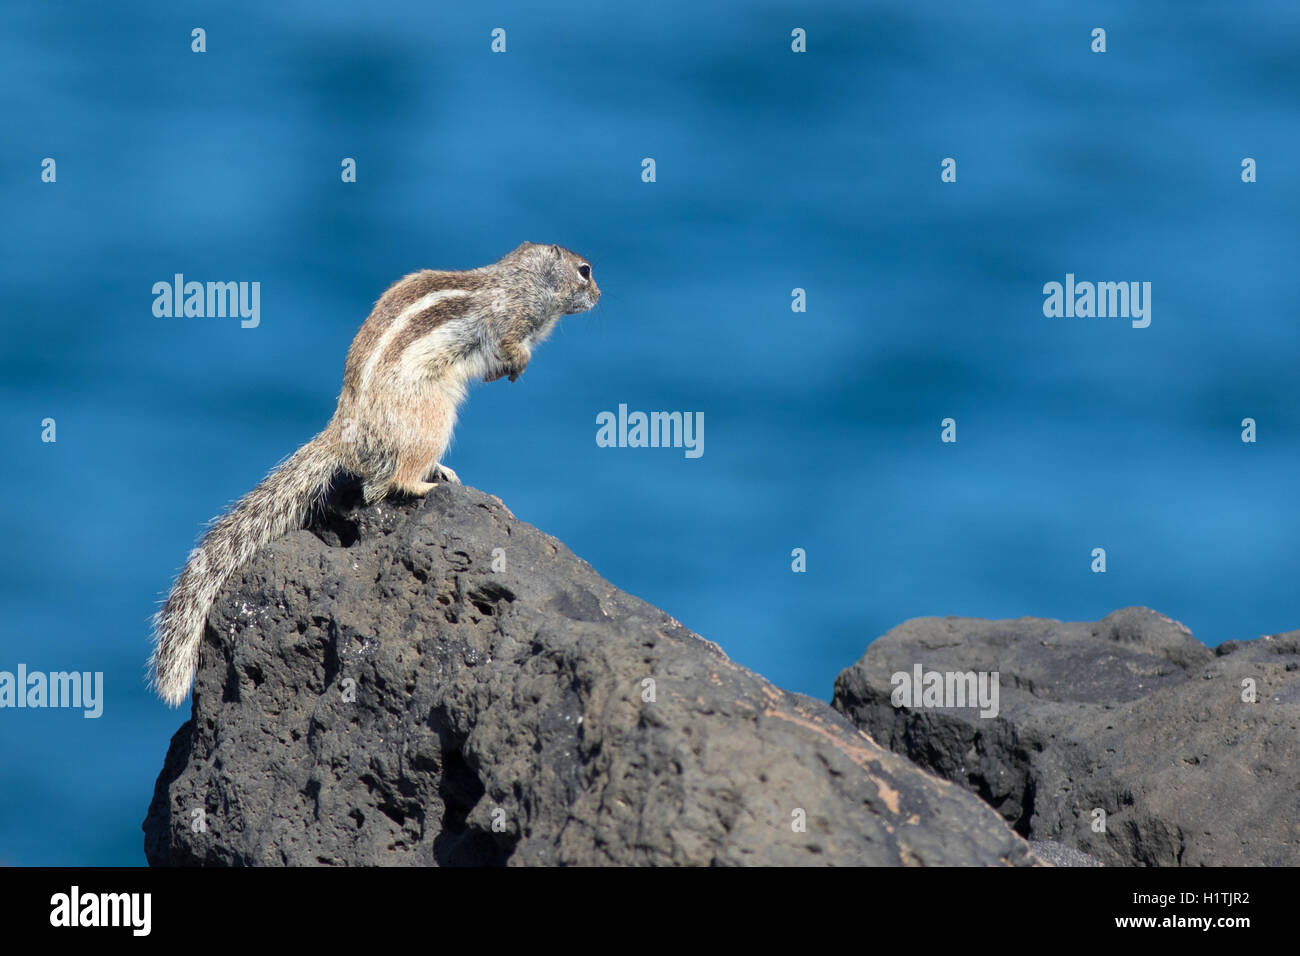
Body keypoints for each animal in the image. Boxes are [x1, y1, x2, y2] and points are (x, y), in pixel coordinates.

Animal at [150, 242, 599, 706]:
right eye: (584, 271)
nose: (599, 296)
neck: (521, 278)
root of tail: (346, 429)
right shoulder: (510, 319)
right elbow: (513, 346)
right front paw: (517, 366)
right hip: (433, 414)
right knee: (392, 481)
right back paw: (426, 484)